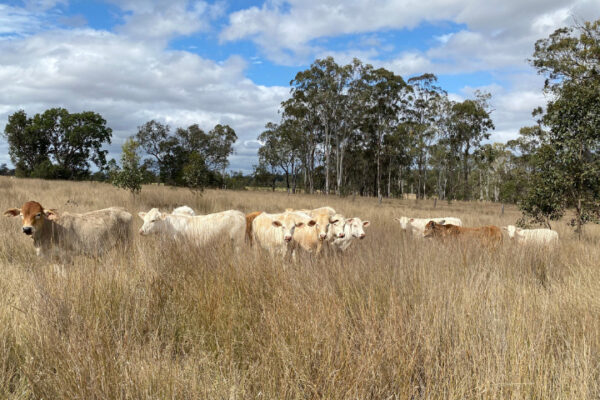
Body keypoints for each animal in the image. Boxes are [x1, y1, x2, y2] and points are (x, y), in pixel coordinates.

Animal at [4, 200, 132, 260]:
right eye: (21, 215)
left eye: (38, 214)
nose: (27, 229)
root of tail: (123, 209)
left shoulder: (66, 257)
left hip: (125, 245)